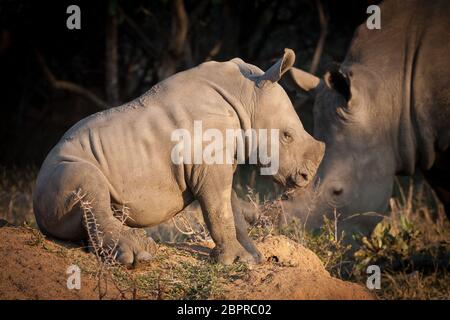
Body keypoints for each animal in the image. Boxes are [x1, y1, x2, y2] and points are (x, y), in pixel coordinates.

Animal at [33, 49, 326, 264]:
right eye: (286, 135)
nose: (306, 176)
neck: (246, 96)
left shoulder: (219, 161)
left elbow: (231, 207)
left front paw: (253, 258)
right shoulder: (209, 163)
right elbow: (219, 210)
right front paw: (235, 260)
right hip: (61, 168)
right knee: (87, 180)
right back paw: (141, 254)